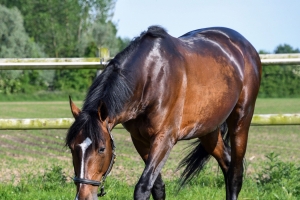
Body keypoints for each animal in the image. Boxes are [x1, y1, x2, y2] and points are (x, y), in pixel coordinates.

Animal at [65, 25, 260, 199]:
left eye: (101, 149)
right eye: (72, 147)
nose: (83, 196)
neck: (150, 76)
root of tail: (245, 46)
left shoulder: (164, 138)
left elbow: (143, 187)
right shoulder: (140, 140)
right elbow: (157, 187)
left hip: (241, 121)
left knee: (235, 175)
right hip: (208, 130)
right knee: (227, 164)